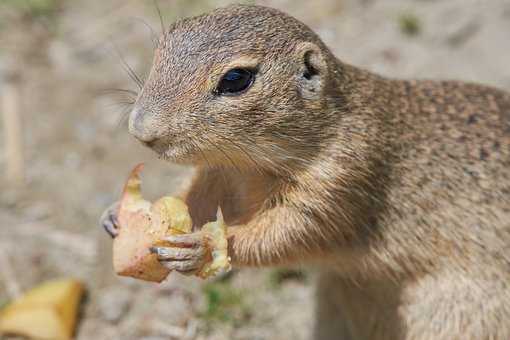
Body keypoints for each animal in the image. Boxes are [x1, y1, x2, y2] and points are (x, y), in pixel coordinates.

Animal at [101, 3, 510, 340]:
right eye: (161, 47)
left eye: (236, 79)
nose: (140, 130)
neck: (252, 164)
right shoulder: (220, 172)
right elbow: (195, 199)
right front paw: (117, 216)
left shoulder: (341, 180)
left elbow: (287, 233)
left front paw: (203, 247)